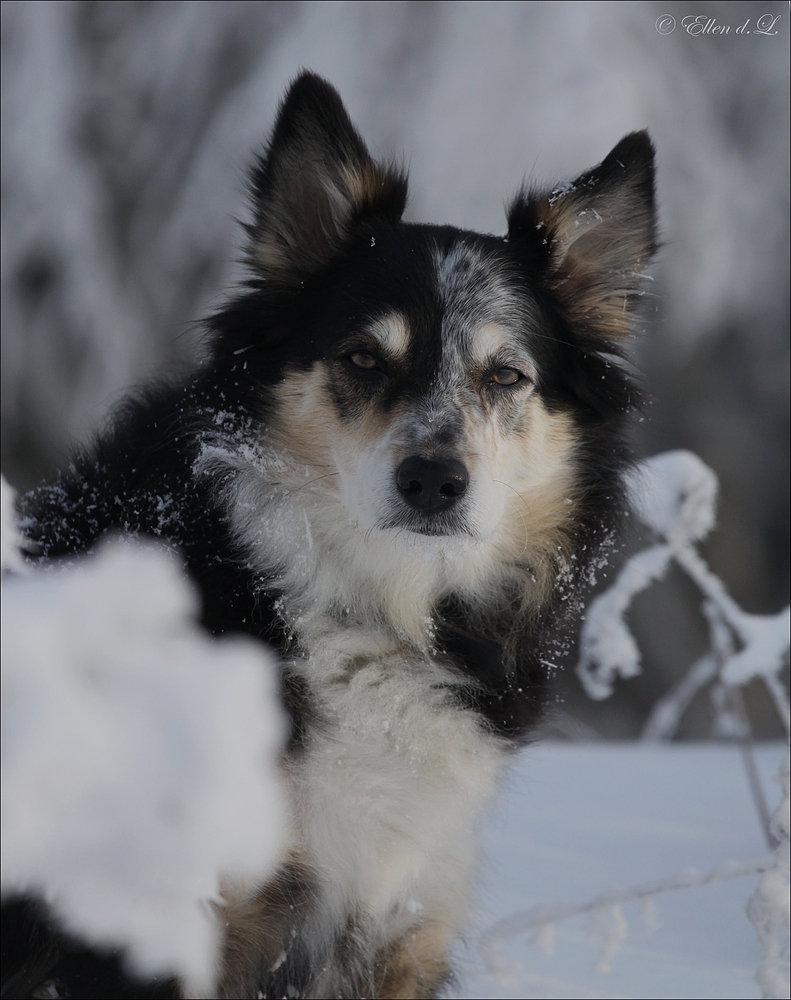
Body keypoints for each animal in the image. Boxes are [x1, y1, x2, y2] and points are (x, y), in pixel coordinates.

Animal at [3, 72, 660, 1000]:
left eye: (505, 376)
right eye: (361, 358)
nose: (433, 481)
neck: (369, 606)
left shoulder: (399, 922)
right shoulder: (145, 924)